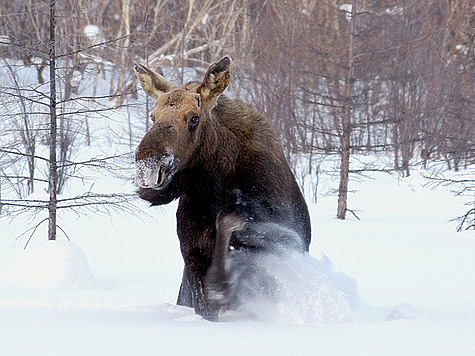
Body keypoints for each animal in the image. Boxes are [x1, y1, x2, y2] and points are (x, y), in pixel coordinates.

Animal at [134, 55, 312, 320]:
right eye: (153, 116)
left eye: (194, 118)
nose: (148, 166)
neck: (213, 188)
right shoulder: (191, 255)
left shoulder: (287, 239)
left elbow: (229, 218)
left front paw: (220, 284)